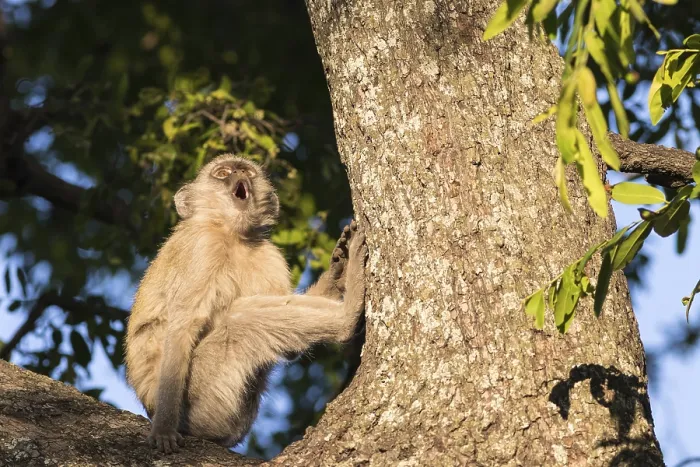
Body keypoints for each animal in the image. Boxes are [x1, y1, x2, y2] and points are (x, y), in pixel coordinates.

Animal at [124, 154, 367, 454]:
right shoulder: (203, 248)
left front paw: (336, 274)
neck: (232, 237)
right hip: (198, 402)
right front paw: (163, 431)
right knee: (239, 320)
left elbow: (291, 352)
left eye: (246, 171)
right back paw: (348, 317)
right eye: (222, 173)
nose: (239, 174)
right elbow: (182, 327)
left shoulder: (268, 254)